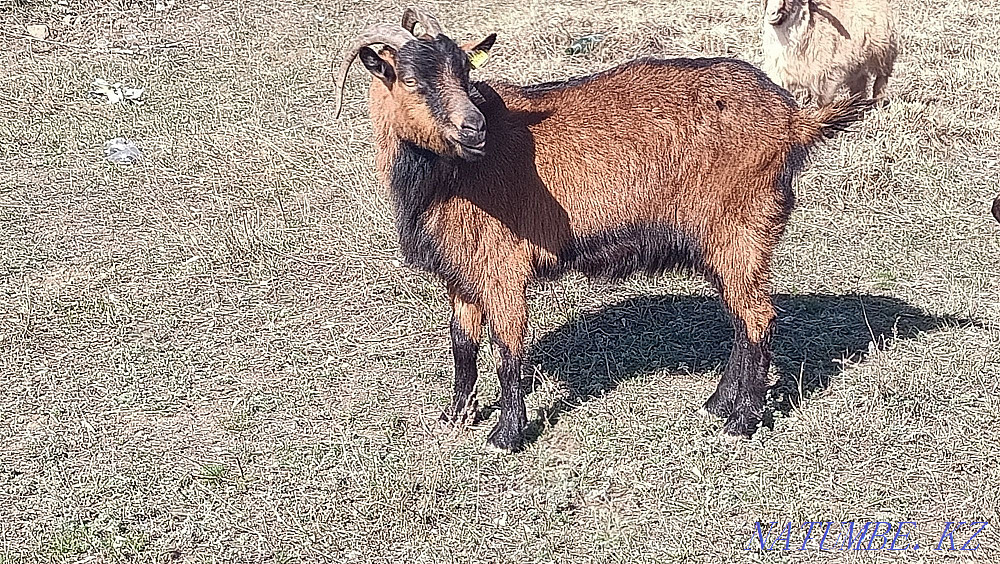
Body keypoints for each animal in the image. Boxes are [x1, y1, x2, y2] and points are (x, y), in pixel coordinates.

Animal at [334, 8, 869, 451]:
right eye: (408, 78)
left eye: (465, 72)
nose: (474, 127)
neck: (446, 177)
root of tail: (795, 120)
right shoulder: (461, 273)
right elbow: (462, 344)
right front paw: (455, 416)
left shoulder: (502, 267)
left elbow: (508, 348)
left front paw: (506, 435)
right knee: (742, 319)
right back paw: (718, 404)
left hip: (741, 228)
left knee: (757, 318)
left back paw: (741, 422)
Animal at [761, 0, 897, 105]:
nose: (771, 13)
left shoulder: (829, 74)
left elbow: (823, 102)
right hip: (858, 61)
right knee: (859, 83)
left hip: (883, 52)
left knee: (881, 79)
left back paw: (878, 104)